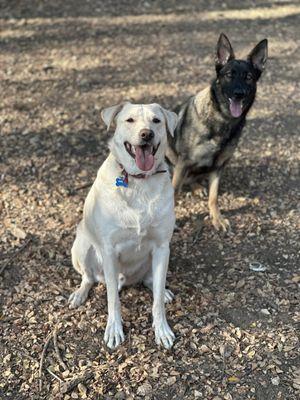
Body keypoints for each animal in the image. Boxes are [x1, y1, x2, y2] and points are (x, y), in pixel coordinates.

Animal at [69, 101, 177, 348]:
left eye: (156, 121)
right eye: (130, 120)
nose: (147, 134)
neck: (139, 181)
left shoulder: (161, 247)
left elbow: (157, 300)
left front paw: (162, 329)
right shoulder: (109, 250)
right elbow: (113, 300)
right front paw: (114, 329)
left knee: (151, 281)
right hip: (82, 245)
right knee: (88, 277)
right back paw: (80, 294)